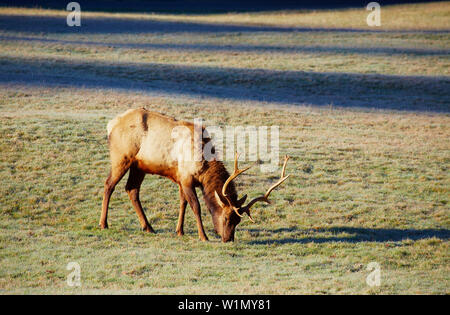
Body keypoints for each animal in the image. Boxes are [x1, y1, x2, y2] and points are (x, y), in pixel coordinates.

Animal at [99, 107, 290, 243]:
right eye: (226, 217)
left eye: (238, 221)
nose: (228, 239)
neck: (203, 167)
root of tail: (111, 125)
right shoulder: (186, 179)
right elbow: (196, 206)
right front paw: (203, 236)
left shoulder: (180, 178)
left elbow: (183, 203)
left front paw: (180, 231)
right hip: (121, 157)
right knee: (109, 184)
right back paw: (103, 223)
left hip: (139, 166)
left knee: (131, 189)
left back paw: (148, 227)